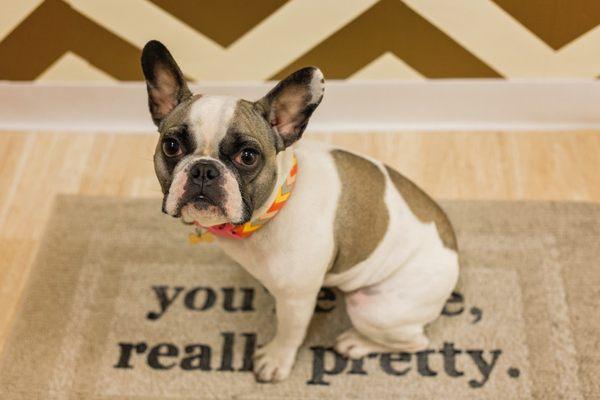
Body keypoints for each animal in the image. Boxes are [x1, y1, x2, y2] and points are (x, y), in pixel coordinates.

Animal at [141, 40, 460, 384]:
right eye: (171, 146)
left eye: (248, 156)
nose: (204, 169)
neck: (275, 204)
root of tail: (453, 251)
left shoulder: (296, 300)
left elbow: (289, 333)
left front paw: (276, 360)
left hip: (375, 310)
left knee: (415, 342)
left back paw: (356, 343)